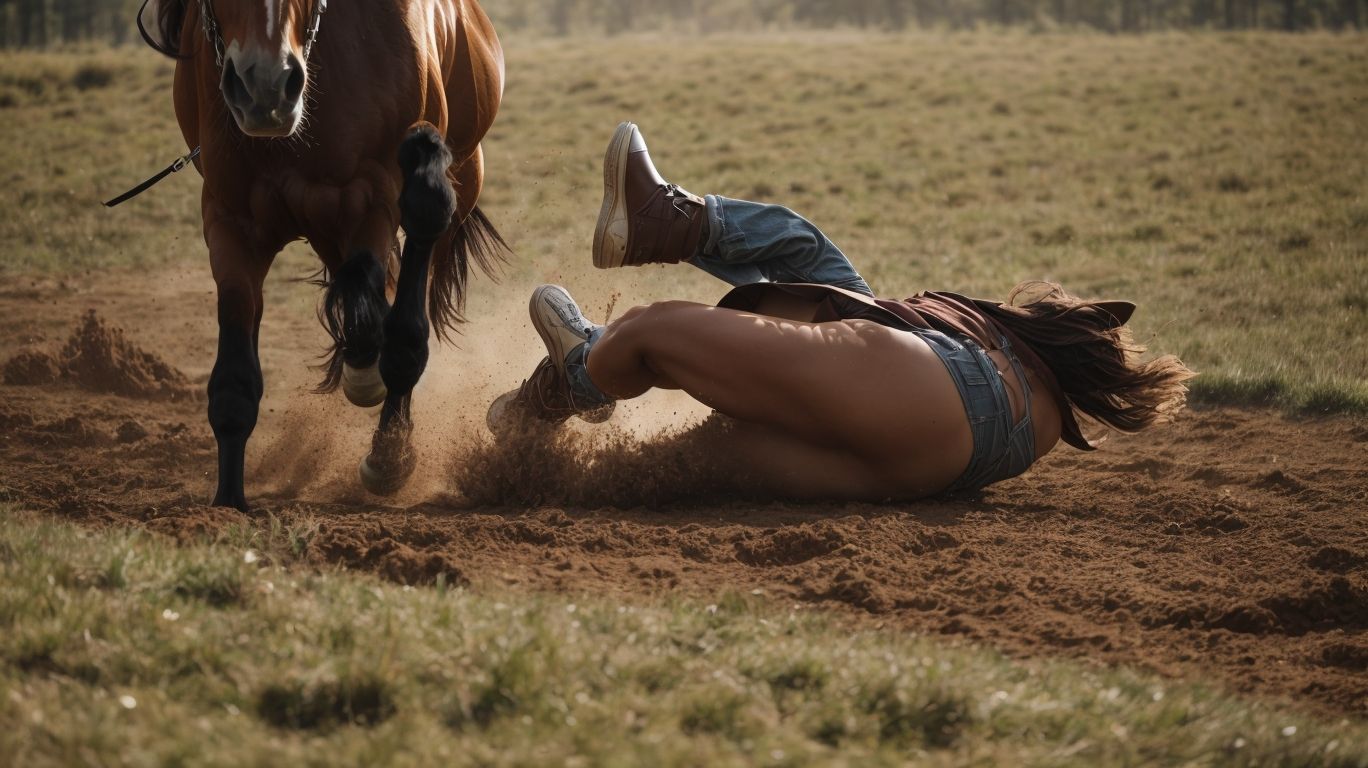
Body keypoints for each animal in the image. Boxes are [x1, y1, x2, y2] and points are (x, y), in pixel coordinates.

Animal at [137, 0, 506, 511]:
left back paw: (388, 447)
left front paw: (386, 448)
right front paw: (228, 500)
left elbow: (392, 314)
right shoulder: (230, 219)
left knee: (417, 250)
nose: (266, 87)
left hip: (462, 174)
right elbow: (235, 370)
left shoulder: (371, 194)